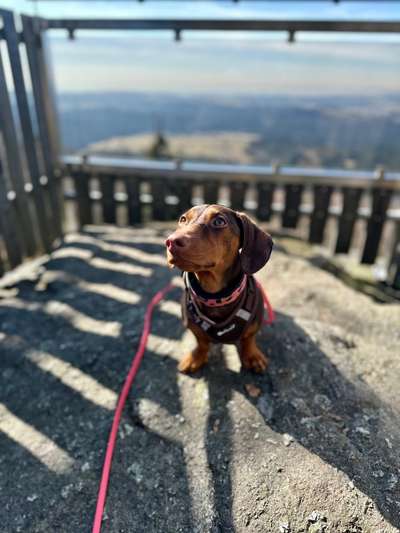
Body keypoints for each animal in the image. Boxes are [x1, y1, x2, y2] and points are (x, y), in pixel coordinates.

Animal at [165, 204, 272, 374]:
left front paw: (252, 356)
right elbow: (201, 341)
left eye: (219, 221)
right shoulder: (193, 326)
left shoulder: (254, 324)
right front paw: (196, 357)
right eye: (183, 219)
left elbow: (249, 338)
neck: (216, 298)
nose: (170, 242)